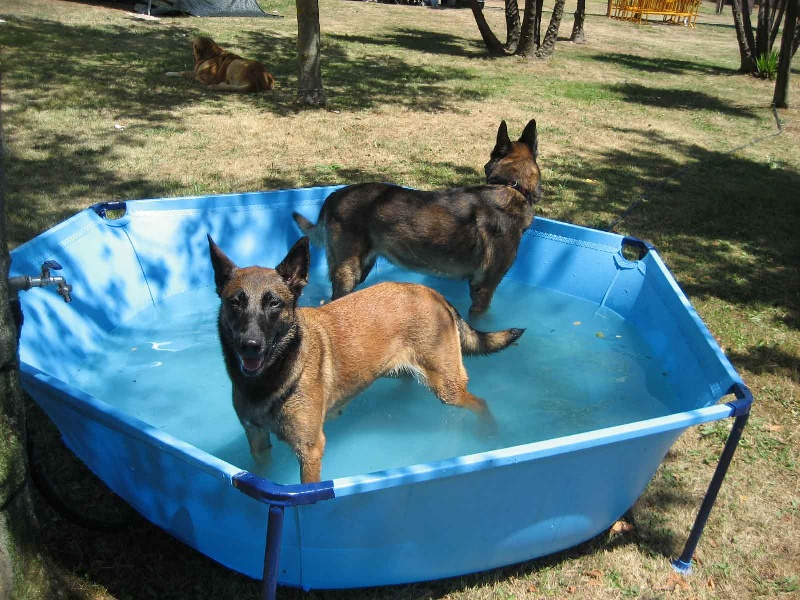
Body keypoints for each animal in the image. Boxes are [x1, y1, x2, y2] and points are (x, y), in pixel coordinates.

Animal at [209, 235, 524, 483]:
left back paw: (490, 431)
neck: (272, 376)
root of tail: (433, 293)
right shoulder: (257, 439)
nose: (250, 346)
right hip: (397, 369)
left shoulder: (310, 451)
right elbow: (263, 468)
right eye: (235, 303)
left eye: (274, 303)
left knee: (479, 402)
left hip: (447, 388)